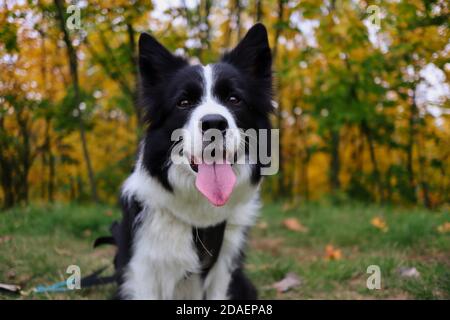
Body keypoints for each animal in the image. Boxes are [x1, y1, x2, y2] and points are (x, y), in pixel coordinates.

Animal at [111, 23, 274, 300]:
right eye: (183, 102)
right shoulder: (143, 268)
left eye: (234, 99)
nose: (214, 123)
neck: (200, 218)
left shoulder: (223, 268)